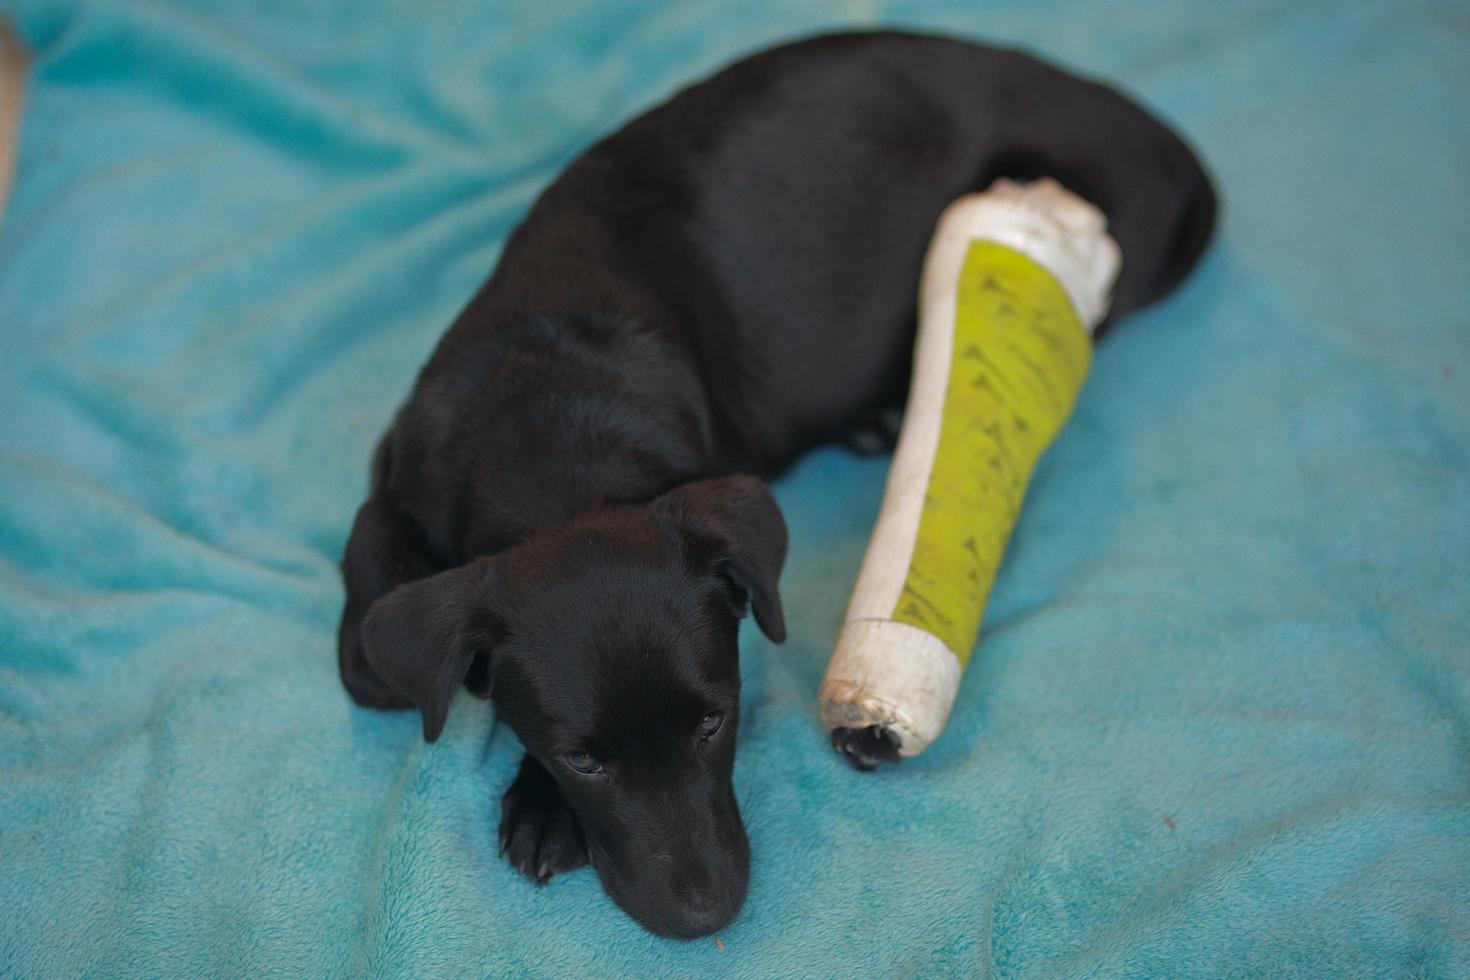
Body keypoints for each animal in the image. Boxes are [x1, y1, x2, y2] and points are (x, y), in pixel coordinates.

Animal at [341, 28, 1217, 934]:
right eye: (581, 759)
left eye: (715, 721)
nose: (705, 915)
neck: (551, 414)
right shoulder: (402, 461)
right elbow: (370, 613)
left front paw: (539, 810)